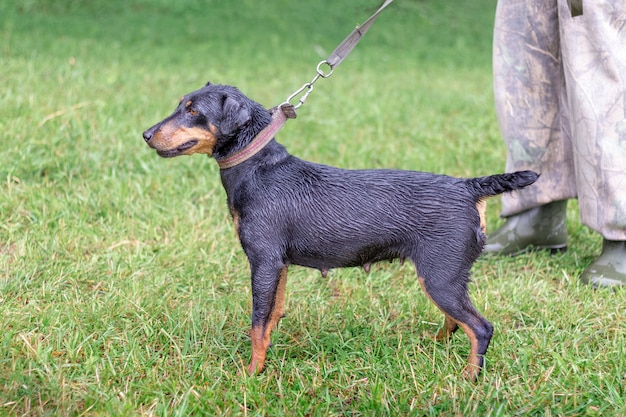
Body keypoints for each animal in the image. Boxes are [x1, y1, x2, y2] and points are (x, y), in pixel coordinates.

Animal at [141, 83, 536, 378]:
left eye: (193, 111)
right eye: (181, 104)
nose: (145, 134)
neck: (258, 167)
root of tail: (469, 187)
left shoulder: (263, 262)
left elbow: (257, 322)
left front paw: (251, 373)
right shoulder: (278, 265)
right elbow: (272, 315)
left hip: (440, 277)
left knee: (480, 327)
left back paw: (470, 377)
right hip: (445, 277)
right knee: (457, 322)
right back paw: (434, 347)